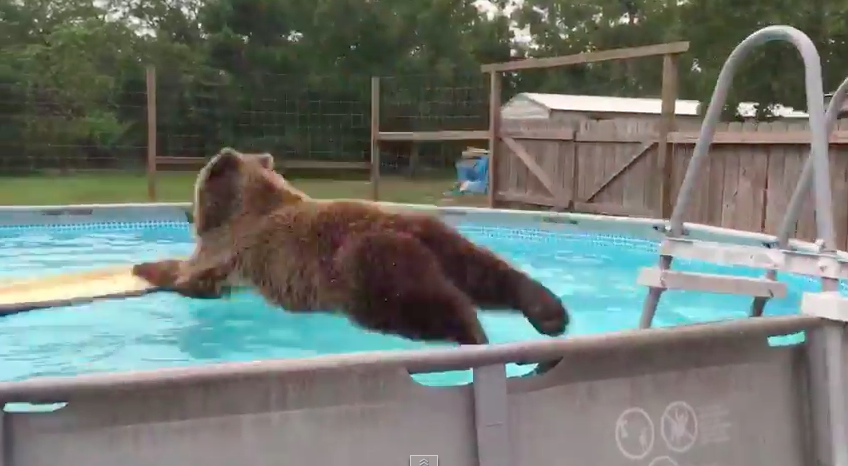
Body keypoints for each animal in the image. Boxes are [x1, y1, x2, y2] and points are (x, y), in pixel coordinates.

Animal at [132, 148, 570, 345]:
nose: (185, 211)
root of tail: (408, 234)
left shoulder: (229, 249)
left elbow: (191, 275)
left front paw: (146, 268)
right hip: (442, 239)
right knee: (490, 273)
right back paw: (548, 313)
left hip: (365, 267)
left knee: (424, 306)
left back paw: (474, 336)